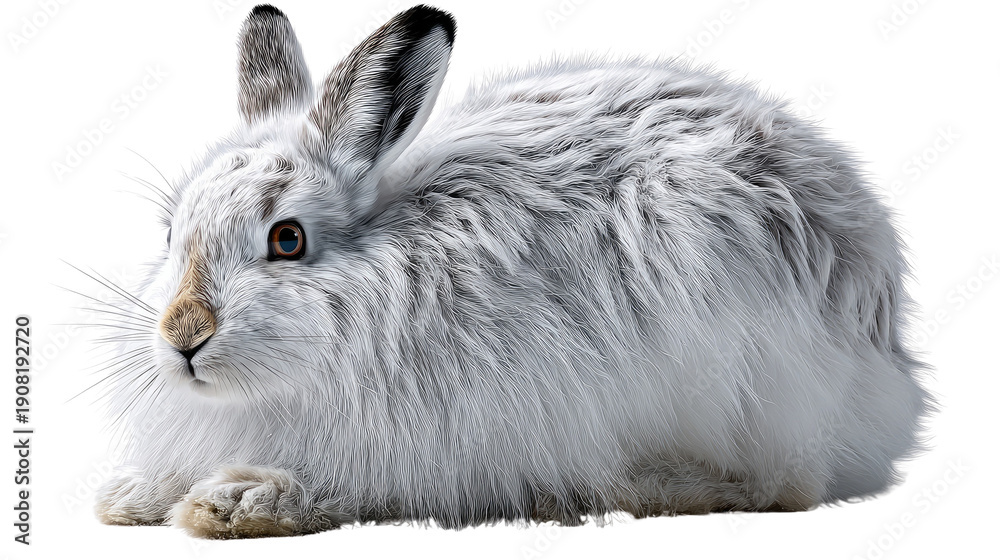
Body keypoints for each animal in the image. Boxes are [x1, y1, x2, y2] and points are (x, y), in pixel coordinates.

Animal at [92, 3, 932, 539]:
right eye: (171, 231)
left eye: (288, 239)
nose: (183, 338)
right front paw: (128, 496)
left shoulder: (434, 452)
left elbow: (347, 483)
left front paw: (237, 502)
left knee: (785, 485)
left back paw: (643, 486)